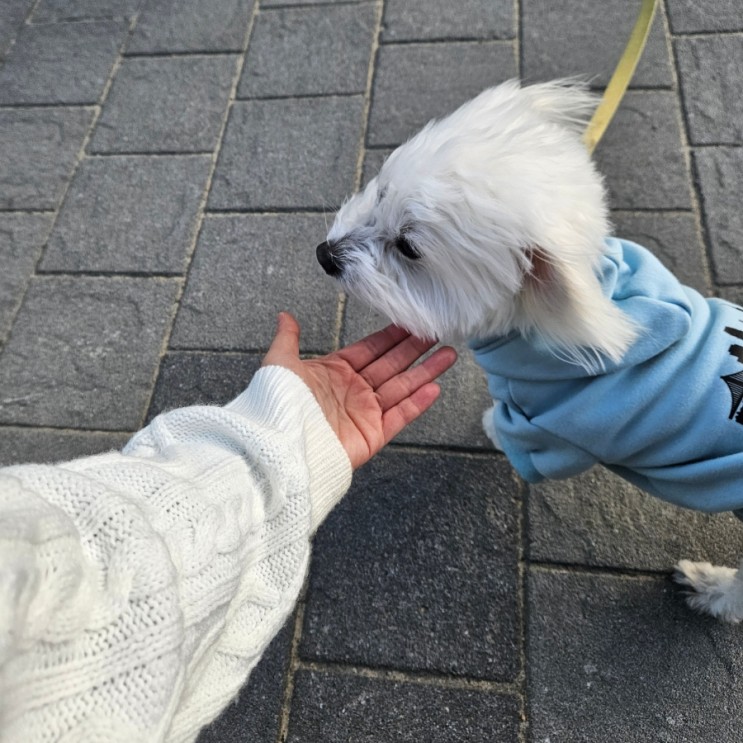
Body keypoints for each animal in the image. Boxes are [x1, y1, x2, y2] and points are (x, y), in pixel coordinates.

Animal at [316, 80, 743, 620]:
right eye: (381, 191)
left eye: (408, 248)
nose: (324, 255)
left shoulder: (549, 434)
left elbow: (510, 431)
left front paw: (489, 427)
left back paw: (710, 587)